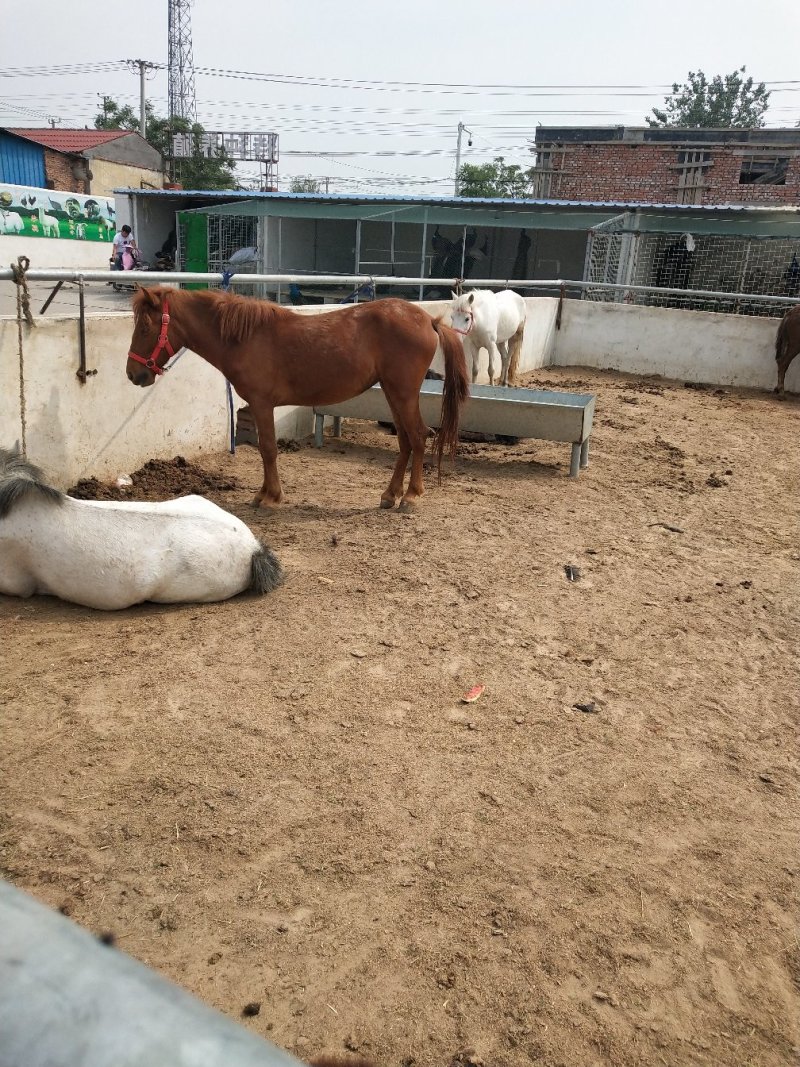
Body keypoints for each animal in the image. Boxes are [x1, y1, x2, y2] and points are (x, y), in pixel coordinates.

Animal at [126, 288, 469, 512]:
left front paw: (270, 497)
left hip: (402, 392)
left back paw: (411, 497)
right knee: (405, 441)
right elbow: (266, 450)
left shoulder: (262, 404)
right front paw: (263, 494)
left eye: (145, 326)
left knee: (419, 436)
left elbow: (268, 450)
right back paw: (390, 495)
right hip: (392, 392)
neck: (246, 337)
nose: (133, 374)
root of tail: (429, 320)